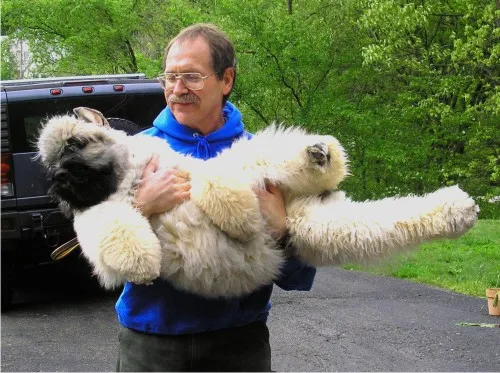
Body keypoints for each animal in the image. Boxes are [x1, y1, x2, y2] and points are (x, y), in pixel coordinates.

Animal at [37, 107, 478, 296]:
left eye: (75, 143)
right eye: (50, 161)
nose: (58, 178)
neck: (127, 178)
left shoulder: (198, 173)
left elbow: (211, 185)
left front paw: (241, 220)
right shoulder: (98, 216)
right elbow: (114, 228)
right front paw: (141, 264)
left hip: (267, 171)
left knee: (291, 158)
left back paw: (322, 155)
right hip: (324, 225)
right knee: (388, 221)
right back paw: (457, 210)